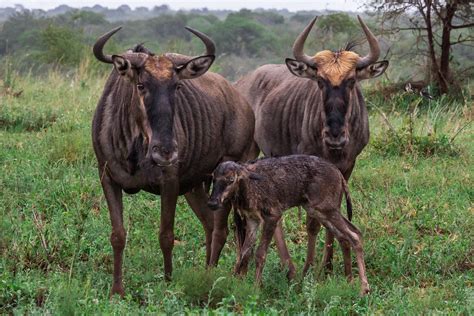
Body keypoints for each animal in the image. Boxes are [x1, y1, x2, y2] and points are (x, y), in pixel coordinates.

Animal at [208, 154, 370, 296]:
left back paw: (364, 288)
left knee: (355, 234)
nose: (213, 202)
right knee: (345, 236)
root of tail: (341, 177)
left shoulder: (272, 215)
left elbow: (260, 254)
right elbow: (244, 252)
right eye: (213, 179)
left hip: (326, 208)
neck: (246, 192)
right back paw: (349, 280)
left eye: (231, 179)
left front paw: (256, 288)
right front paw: (234, 282)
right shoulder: (253, 219)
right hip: (319, 210)